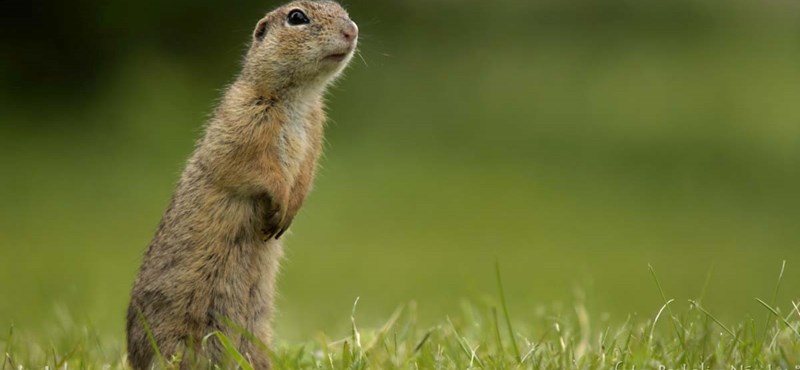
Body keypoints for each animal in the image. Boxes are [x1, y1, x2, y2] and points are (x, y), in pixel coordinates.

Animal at [126, 1, 360, 368]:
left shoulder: (315, 132)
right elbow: (255, 169)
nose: (352, 30)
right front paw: (280, 204)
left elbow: (305, 176)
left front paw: (290, 209)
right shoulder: (245, 122)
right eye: (297, 17)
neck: (299, 98)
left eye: (343, 9)